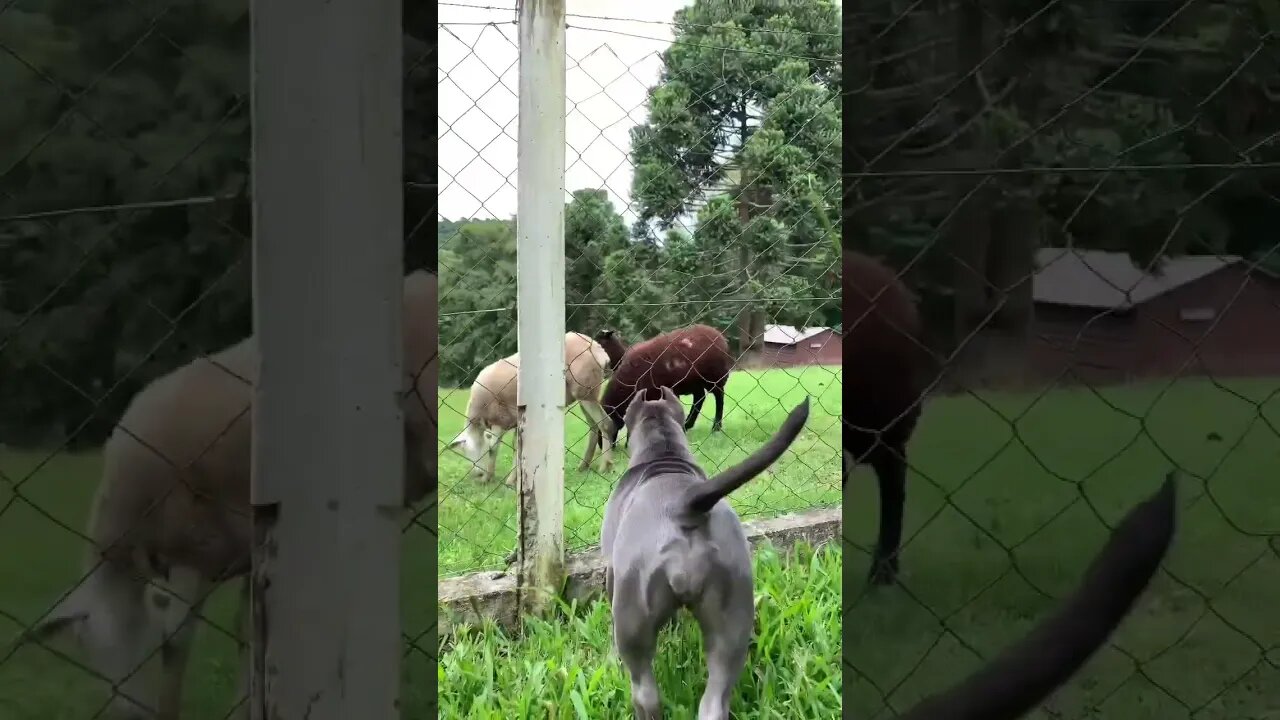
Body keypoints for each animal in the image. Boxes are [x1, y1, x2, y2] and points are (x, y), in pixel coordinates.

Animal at [24, 267, 440, 717]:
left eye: (134, 638)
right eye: (87, 654)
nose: (129, 713)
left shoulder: (189, 551)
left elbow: (178, 643)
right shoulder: (246, 551)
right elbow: (248, 632)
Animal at [445, 330, 614, 481]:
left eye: (478, 448)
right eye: (465, 452)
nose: (477, 474)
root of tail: (597, 348)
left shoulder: (499, 420)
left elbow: (495, 449)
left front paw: (491, 477)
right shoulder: (514, 420)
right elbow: (515, 447)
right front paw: (511, 479)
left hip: (586, 391)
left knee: (605, 423)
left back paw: (605, 466)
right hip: (584, 394)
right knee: (594, 426)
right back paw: (584, 465)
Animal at [596, 322, 732, 445]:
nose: (601, 446)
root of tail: (718, 334)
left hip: (714, 377)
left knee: (719, 398)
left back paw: (716, 427)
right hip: (695, 382)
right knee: (700, 397)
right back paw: (688, 424)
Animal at [601, 386, 808, 717]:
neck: (664, 453)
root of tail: (686, 505)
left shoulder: (611, 570)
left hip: (633, 617)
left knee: (645, 690)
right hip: (731, 617)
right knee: (715, 698)